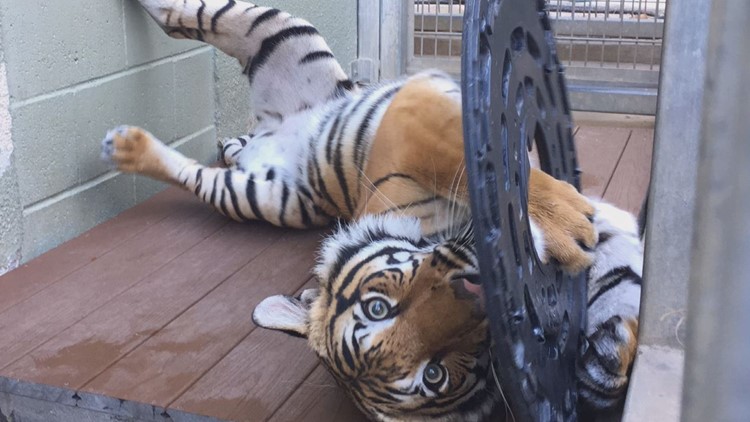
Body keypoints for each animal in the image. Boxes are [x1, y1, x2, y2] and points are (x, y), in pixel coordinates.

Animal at [99, 0, 641, 420]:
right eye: (378, 311)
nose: (475, 298)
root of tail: (270, 130)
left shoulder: (414, 115)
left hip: (285, 37)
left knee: (187, 21)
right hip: (255, 196)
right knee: (182, 51)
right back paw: (124, 147)